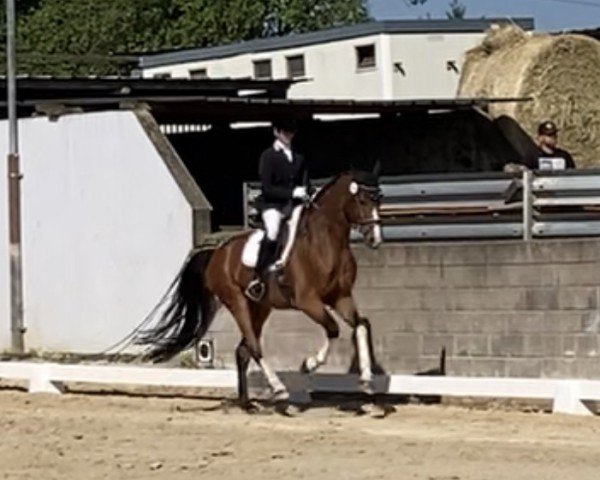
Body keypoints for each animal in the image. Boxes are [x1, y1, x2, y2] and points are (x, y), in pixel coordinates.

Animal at [137, 167, 380, 406]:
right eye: (361, 200)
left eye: (379, 199)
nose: (375, 240)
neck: (324, 243)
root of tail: (217, 252)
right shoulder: (308, 301)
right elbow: (333, 329)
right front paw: (309, 364)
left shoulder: (341, 296)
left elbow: (361, 325)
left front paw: (367, 378)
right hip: (237, 302)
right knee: (254, 346)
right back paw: (278, 388)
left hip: (261, 306)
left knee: (243, 350)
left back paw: (246, 401)